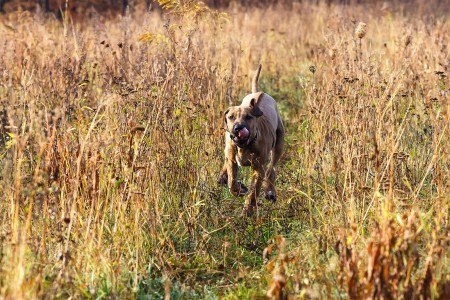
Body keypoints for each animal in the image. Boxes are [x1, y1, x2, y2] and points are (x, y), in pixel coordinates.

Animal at [218, 65, 284, 213]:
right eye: (230, 117)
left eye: (248, 117)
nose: (238, 128)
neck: (245, 146)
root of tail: (258, 93)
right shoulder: (232, 157)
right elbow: (232, 182)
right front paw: (239, 189)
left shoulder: (258, 168)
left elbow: (254, 191)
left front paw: (247, 210)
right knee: (226, 162)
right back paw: (222, 176)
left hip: (279, 144)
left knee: (272, 169)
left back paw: (270, 191)